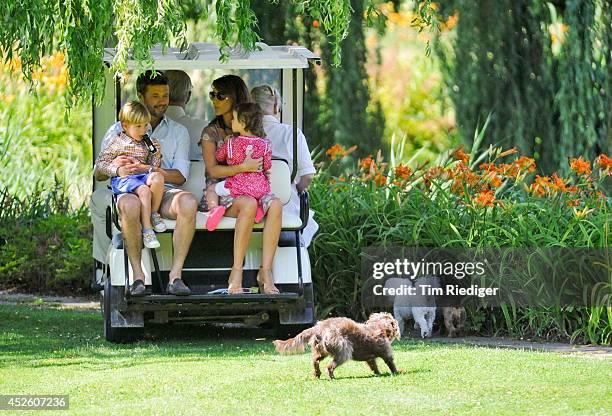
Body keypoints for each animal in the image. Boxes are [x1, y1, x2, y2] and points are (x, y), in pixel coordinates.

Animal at [272, 314, 402, 378]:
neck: (379, 326)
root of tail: (319, 327)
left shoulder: (370, 358)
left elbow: (373, 365)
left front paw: (378, 373)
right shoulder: (386, 352)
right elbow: (391, 363)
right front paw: (397, 372)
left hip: (321, 351)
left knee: (315, 361)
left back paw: (317, 374)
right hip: (344, 351)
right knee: (330, 366)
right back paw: (331, 376)